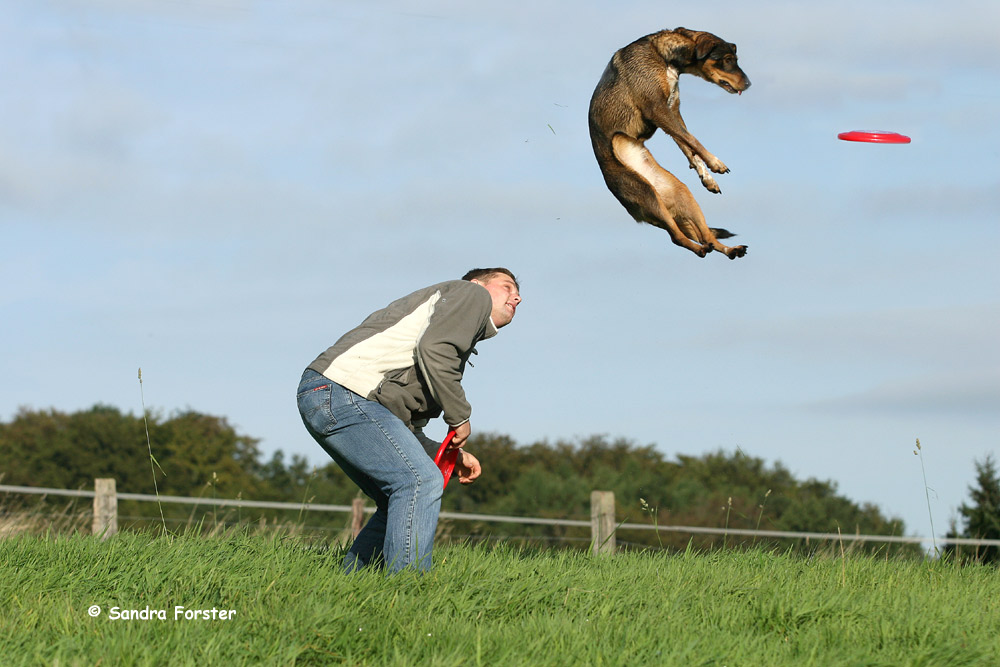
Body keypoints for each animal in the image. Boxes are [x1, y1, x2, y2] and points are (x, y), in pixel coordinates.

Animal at [584, 28, 752, 258]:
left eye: (735, 59)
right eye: (727, 59)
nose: (749, 84)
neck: (664, 56)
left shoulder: (672, 110)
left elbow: (689, 147)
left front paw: (708, 177)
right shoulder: (657, 109)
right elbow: (691, 140)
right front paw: (716, 163)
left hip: (683, 196)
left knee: (706, 236)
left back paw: (730, 250)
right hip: (648, 196)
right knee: (678, 238)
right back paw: (701, 250)